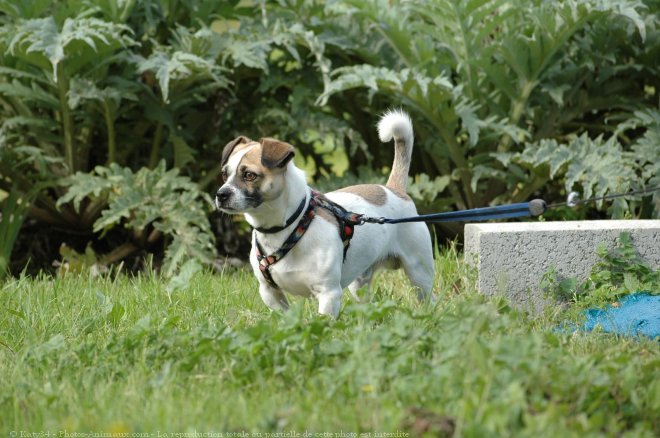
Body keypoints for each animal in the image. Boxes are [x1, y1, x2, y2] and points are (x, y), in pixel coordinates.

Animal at [214, 108, 436, 316]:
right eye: (224, 174)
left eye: (250, 175)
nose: (221, 194)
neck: (292, 226)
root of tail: (394, 189)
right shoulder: (270, 293)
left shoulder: (328, 294)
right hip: (360, 283)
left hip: (419, 274)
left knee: (428, 297)